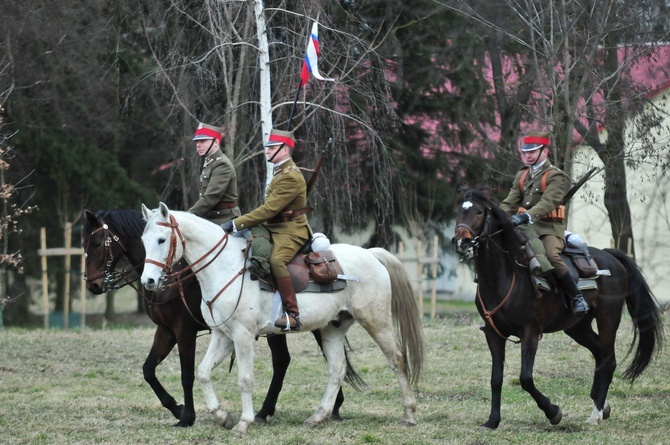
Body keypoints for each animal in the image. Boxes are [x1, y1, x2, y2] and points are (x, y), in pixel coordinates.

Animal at [82, 211, 362, 426]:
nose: (92, 285)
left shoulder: (184, 331)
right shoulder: (166, 331)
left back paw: (326, 407)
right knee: (288, 361)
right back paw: (273, 411)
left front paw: (187, 416)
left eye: (96, 244)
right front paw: (176, 408)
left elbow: (186, 373)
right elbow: (148, 370)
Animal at [140, 204, 426, 434]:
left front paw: (244, 422)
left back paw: (409, 414)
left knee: (397, 360)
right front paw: (222, 416)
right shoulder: (223, 336)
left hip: (376, 322)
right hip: (332, 328)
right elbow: (202, 372)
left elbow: (244, 378)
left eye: (162, 239)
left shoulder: (242, 336)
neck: (226, 267)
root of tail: (371, 254)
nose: (149, 281)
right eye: (143, 241)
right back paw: (318, 417)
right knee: (337, 369)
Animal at [452, 189, 668, 428]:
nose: (461, 241)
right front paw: (492, 421)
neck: (505, 276)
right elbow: (496, 378)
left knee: (608, 359)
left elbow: (525, 378)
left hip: (608, 319)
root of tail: (611, 256)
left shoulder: (530, 333)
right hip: (577, 327)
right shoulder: (493, 334)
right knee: (601, 355)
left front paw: (553, 411)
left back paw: (596, 413)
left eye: (479, 211)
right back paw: (602, 405)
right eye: (458, 210)